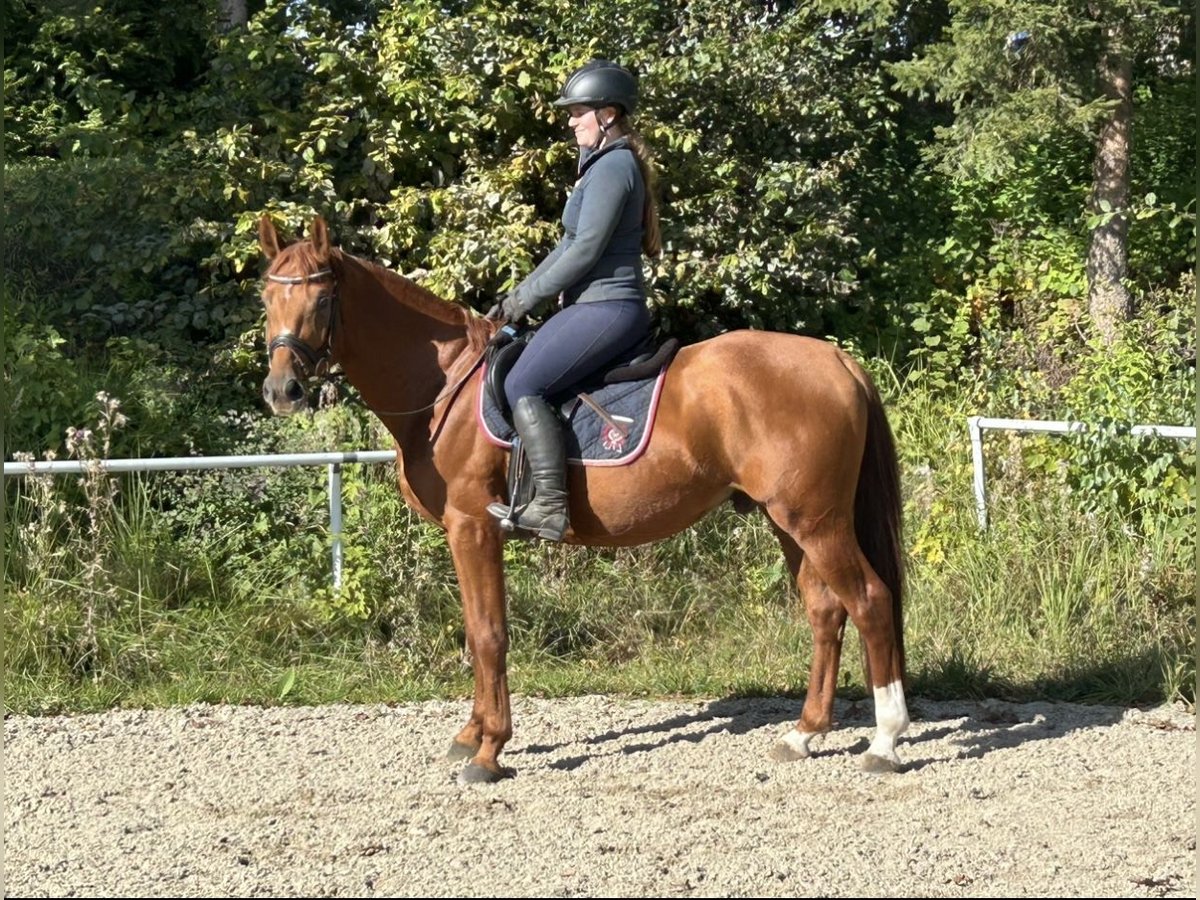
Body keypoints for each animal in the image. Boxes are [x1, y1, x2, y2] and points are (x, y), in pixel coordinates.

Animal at [255, 217, 907, 782]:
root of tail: (836, 359)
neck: (444, 386)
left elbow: (488, 633)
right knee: (826, 610)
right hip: (787, 521)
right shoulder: (467, 533)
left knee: (870, 601)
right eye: (266, 300)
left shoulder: (473, 527)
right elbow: (477, 630)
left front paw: (489, 751)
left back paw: (884, 741)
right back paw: (804, 733)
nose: (282, 391)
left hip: (816, 521)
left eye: (321, 300)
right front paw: (471, 735)